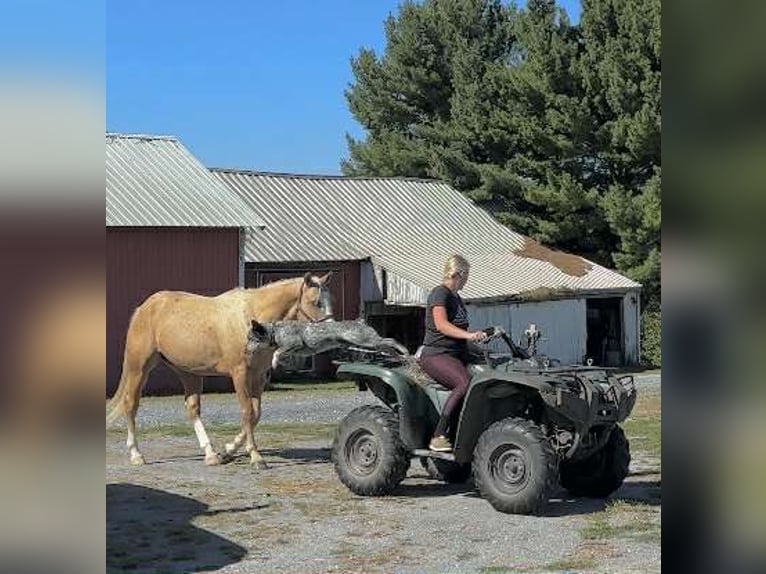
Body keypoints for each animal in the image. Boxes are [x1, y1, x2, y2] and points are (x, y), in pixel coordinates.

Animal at [106, 272, 333, 468]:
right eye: (315, 302)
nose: (330, 335)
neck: (251, 319)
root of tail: (145, 307)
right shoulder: (240, 374)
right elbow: (247, 411)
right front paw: (256, 457)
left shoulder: (259, 376)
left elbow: (256, 413)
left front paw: (229, 450)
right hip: (139, 368)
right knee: (130, 404)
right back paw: (136, 454)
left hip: (188, 372)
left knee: (192, 409)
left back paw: (210, 454)